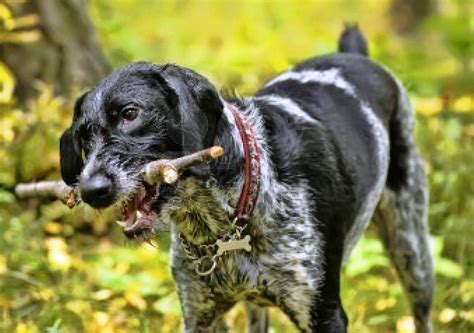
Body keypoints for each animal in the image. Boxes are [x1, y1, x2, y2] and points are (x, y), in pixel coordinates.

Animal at [61, 26, 436, 332]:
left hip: (413, 253)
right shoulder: (199, 315)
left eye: (130, 114)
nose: (91, 191)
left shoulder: (324, 315)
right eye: (83, 136)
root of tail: (356, 55)